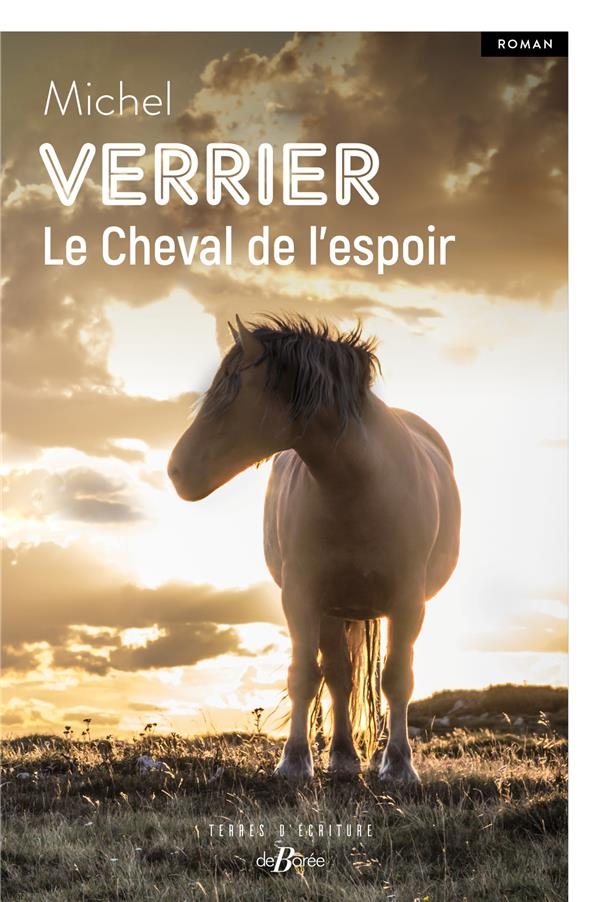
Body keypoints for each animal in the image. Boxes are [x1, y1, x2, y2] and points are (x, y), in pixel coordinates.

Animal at [168, 315, 460, 782]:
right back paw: (342, 756)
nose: (176, 471)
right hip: (331, 609)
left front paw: (399, 765)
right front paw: (294, 761)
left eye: (230, 393)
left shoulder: (408, 601)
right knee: (339, 677)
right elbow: (305, 676)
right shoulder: (302, 596)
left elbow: (397, 679)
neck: (358, 488)